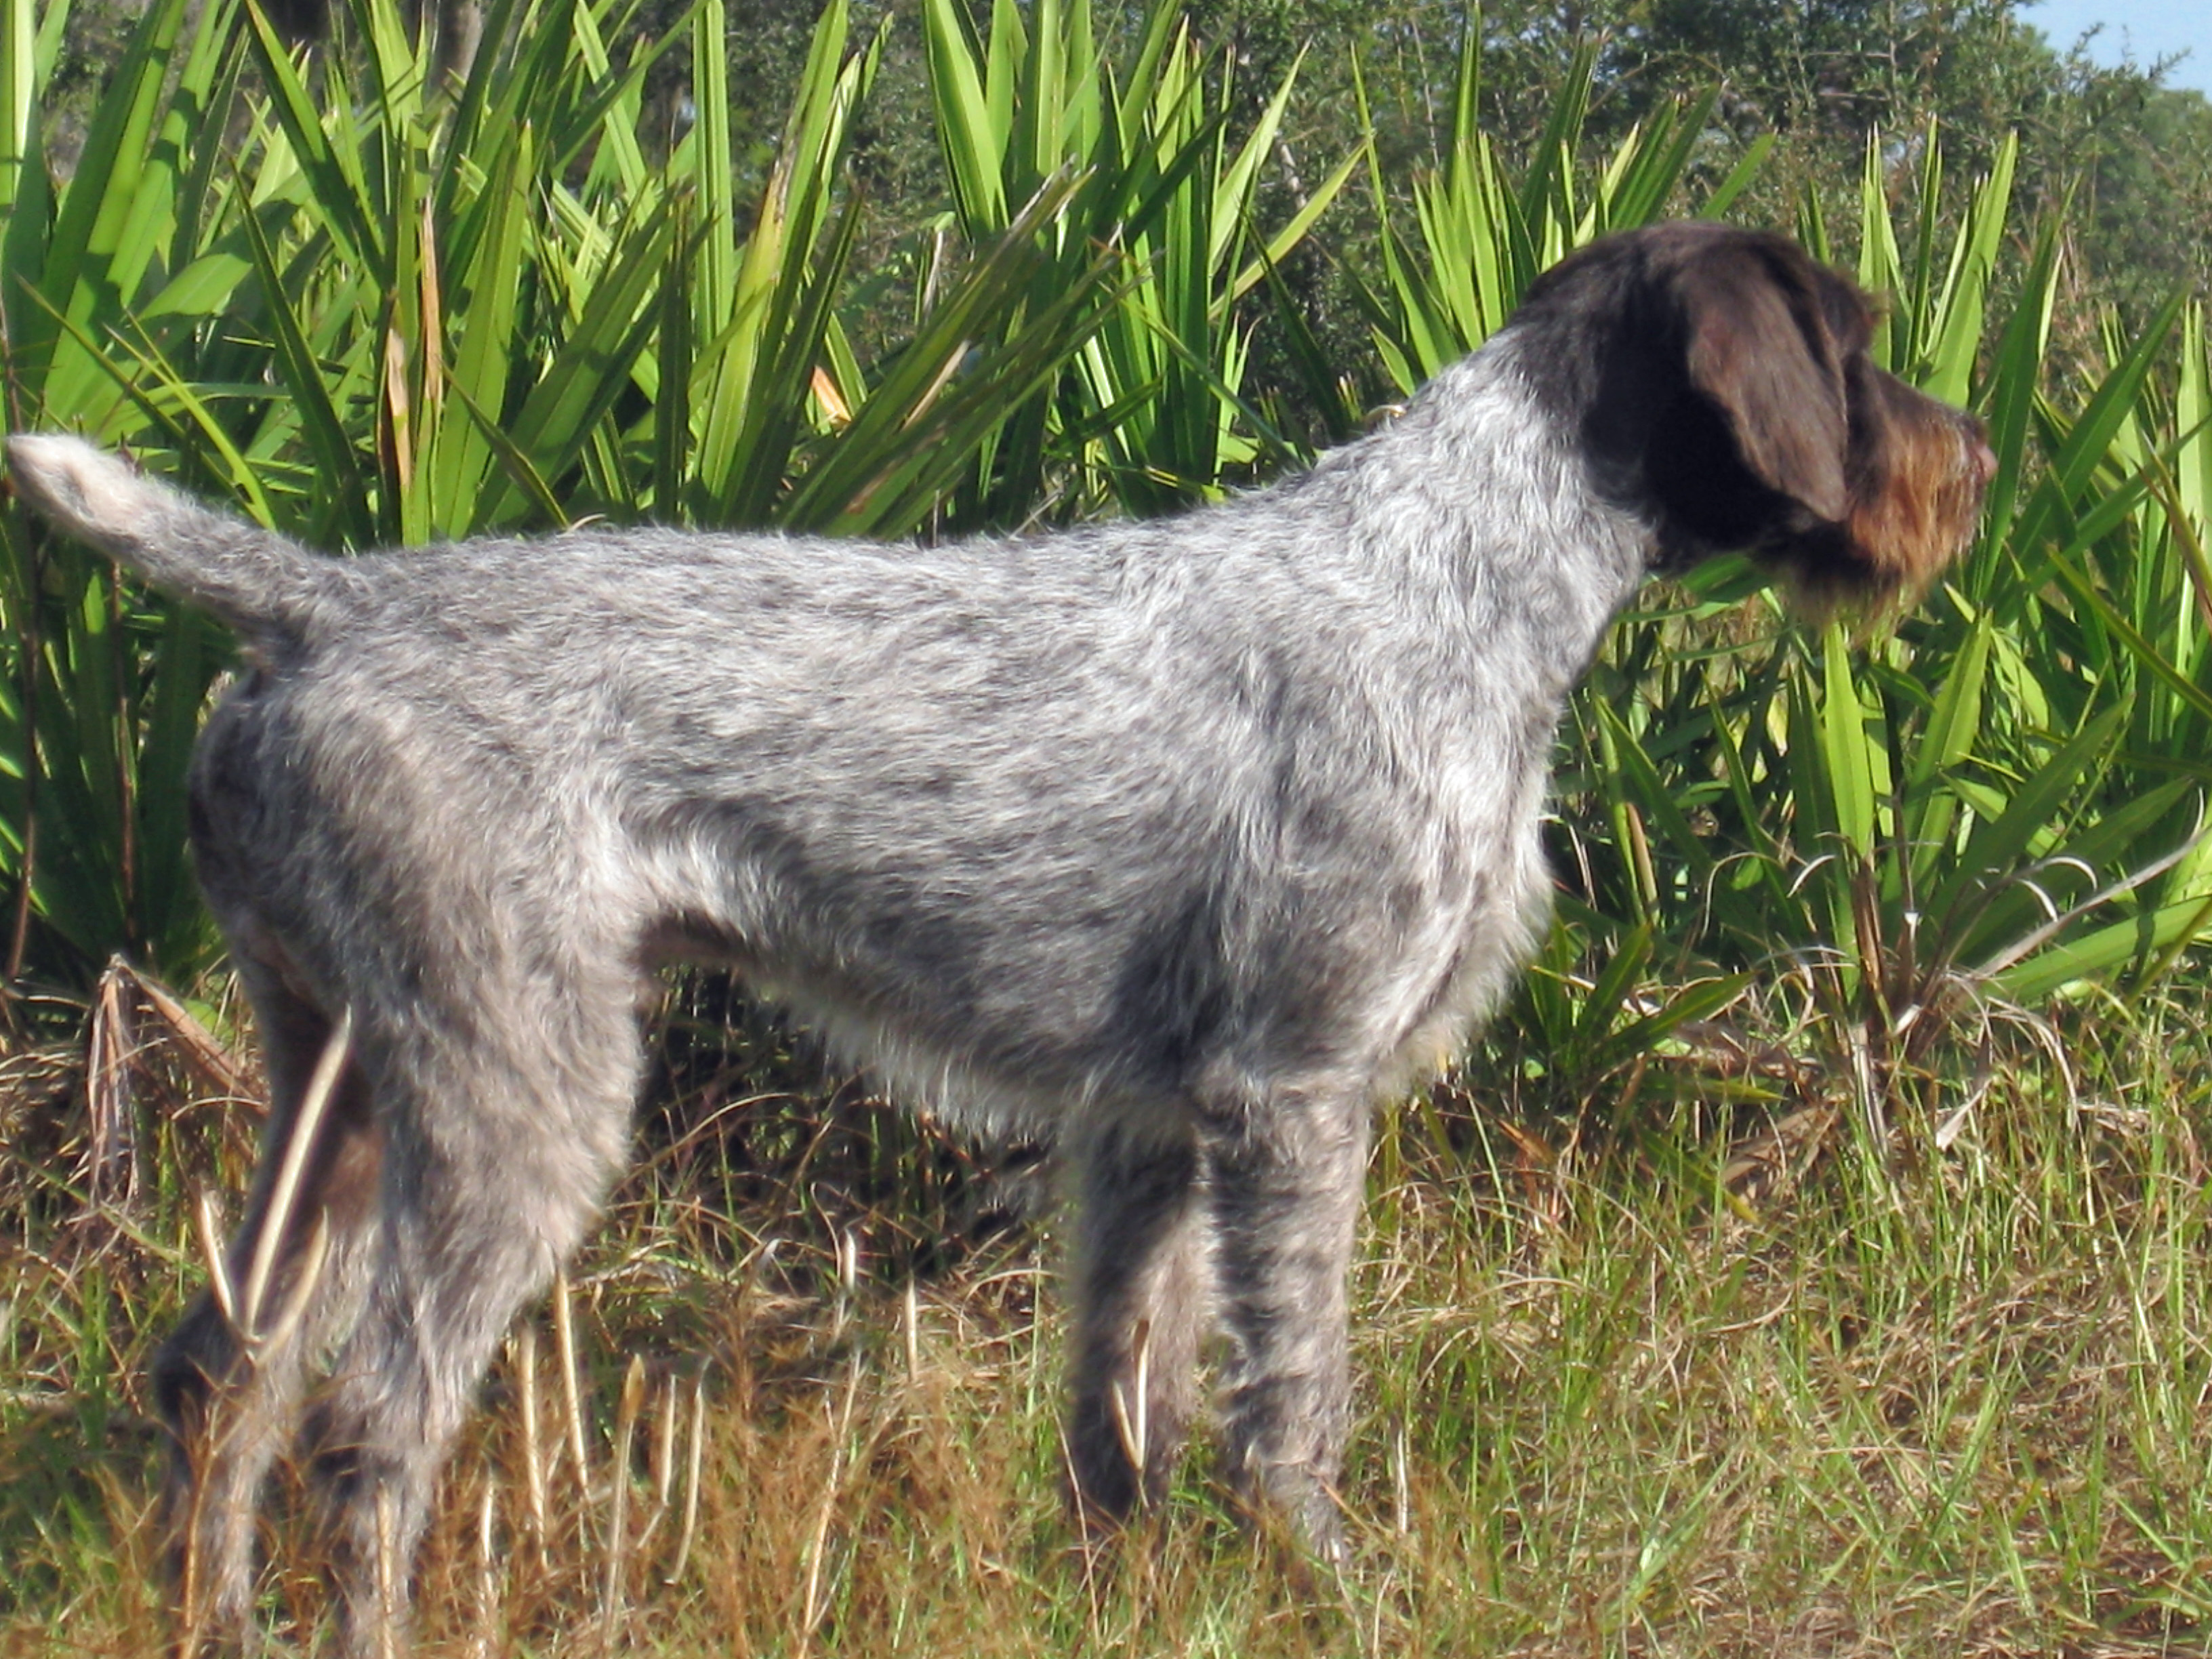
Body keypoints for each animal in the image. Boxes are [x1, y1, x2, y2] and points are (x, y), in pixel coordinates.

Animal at [4, 224, 1990, 1659]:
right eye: (1854, 338)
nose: (1974, 458)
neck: (1466, 577)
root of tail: (320, 604)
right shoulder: (1293, 1094)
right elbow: (1290, 1403)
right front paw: (1336, 1590)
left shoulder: (1153, 1123)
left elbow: (1126, 1408)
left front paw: (1127, 1599)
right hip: (514, 1094)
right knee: (370, 1427)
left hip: (336, 1079)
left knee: (224, 1378)